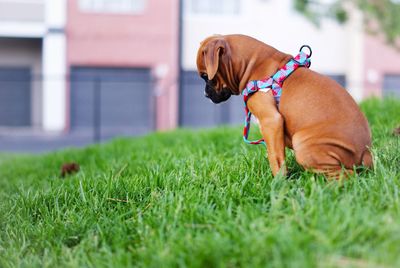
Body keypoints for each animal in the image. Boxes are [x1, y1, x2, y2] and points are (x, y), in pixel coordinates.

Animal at [196, 34, 372, 179]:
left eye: (205, 76)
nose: (205, 95)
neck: (254, 65)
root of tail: (365, 153)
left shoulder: (271, 122)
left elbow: (275, 157)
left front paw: (279, 183)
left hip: (302, 143)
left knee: (346, 175)